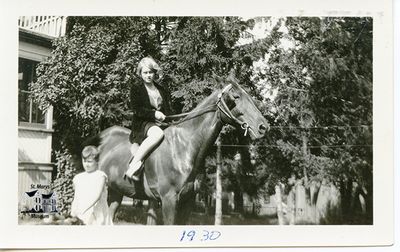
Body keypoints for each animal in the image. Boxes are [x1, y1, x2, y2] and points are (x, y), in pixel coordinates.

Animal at [95, 75, 268, 224]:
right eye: (236, 97)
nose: (263, 127)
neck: (184, 148)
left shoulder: (187, 201)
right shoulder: (169, 201)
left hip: (116, 192)